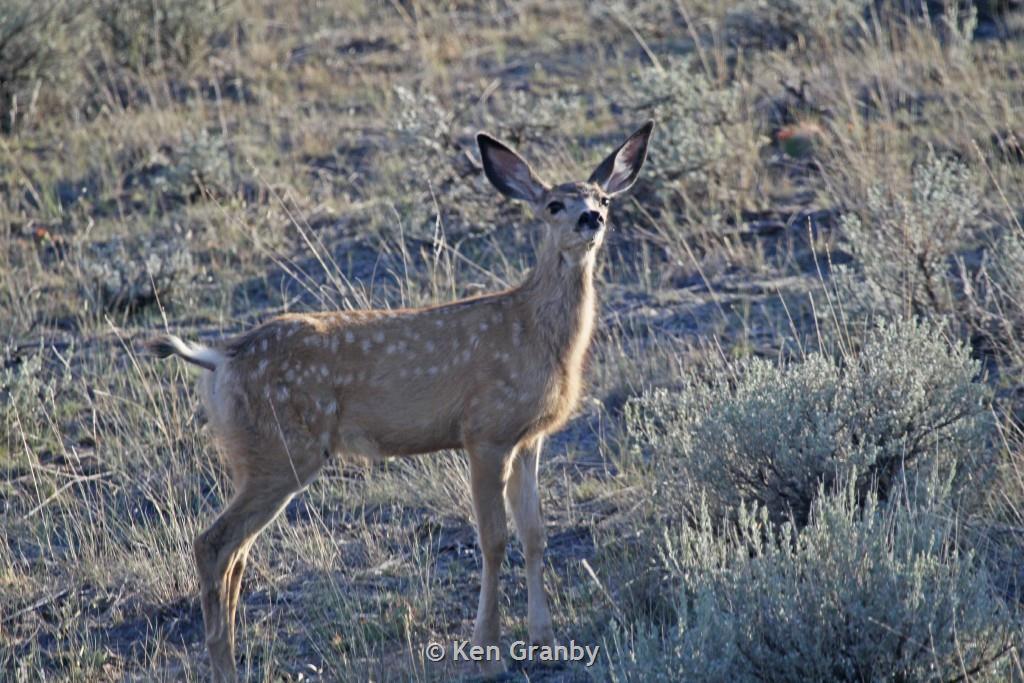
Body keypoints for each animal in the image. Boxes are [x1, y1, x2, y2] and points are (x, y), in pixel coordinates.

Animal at [147, 120, 651, 679]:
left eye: (603, 196)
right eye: (554, 204)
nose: (592, 217)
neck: (535, 331)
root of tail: (221, 357)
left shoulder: (527, 438)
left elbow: (535, 534)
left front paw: (544, 640)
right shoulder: (485, 431)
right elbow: (493, 540)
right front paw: (490, 652)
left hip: (259, 458)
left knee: (235, 555)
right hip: (283, 451)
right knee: (212, 544)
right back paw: (225, 667)